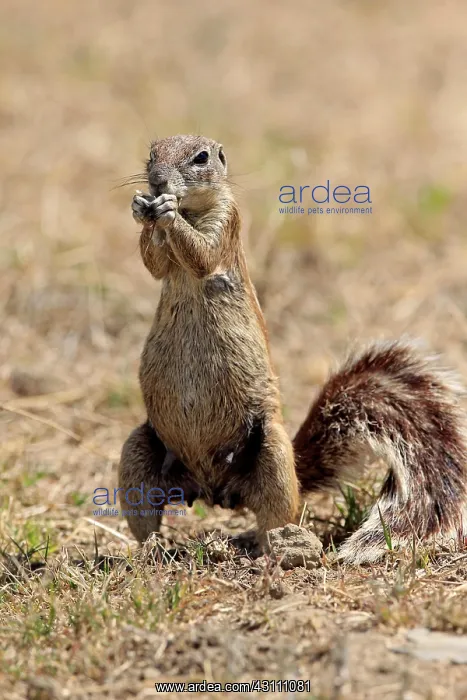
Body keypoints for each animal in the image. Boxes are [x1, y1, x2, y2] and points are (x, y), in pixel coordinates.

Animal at [118, 134, 467, 564]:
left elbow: (202, 255)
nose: (156, 182)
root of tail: (213, 489)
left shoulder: (227, 223)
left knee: (277, 514)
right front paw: (140, 208)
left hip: (272, 456)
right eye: (152, 153)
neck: (192, 207)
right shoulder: (166, 261)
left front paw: (165, 212)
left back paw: (272, 549)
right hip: (137, 455)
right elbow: (154, 264)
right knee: (145, 515)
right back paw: (147, 552)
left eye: (201, 158)